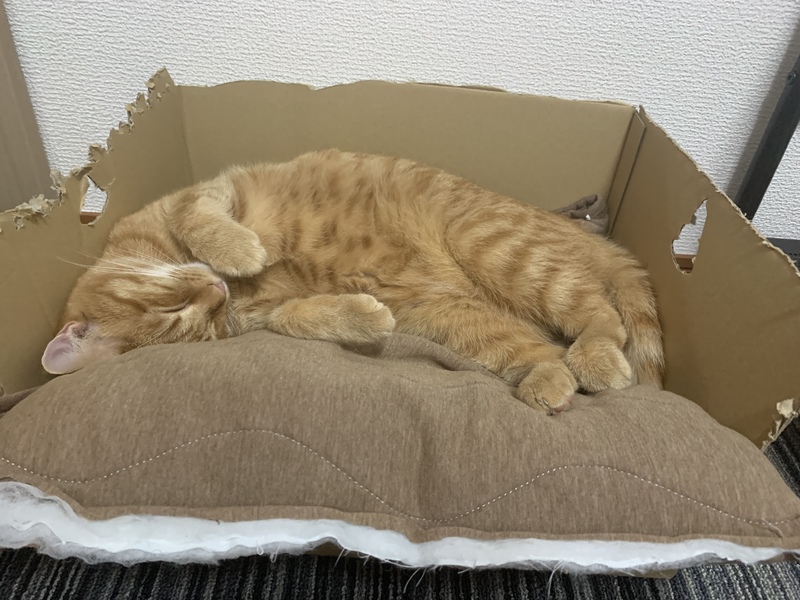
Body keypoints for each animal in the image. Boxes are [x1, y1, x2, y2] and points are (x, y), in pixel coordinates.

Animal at [42, 149, 664, 414]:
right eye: (191, 322)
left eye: (175, 311)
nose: (214, 293)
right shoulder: (268, 317)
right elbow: (304, 316)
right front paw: (364, 315)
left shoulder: (210, 195)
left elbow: (202, 220)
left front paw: (241, 250)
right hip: (455, 316)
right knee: (541, 349)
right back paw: (550, 381)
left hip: (495, 247)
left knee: (602, 315)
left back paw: (599, 360)